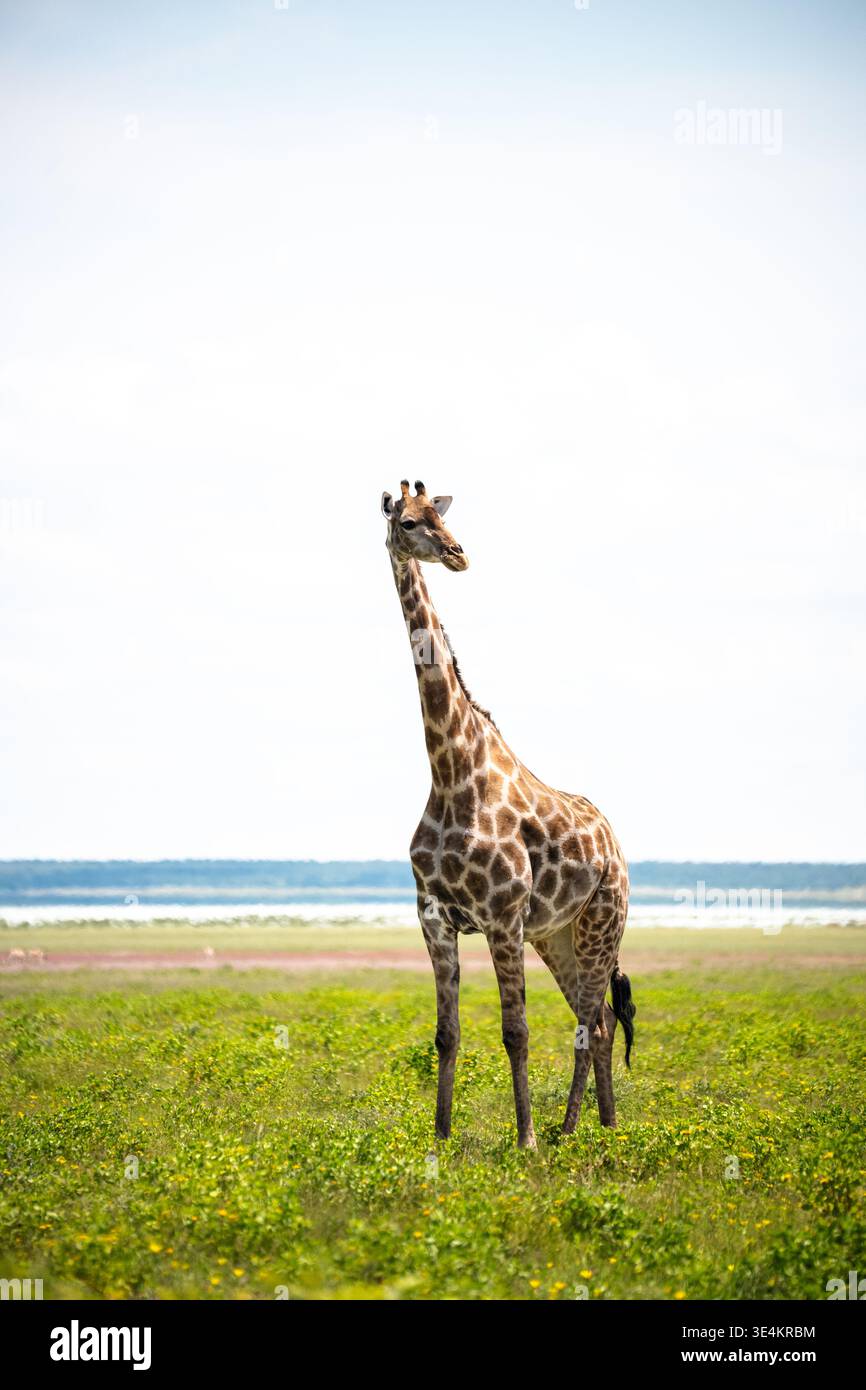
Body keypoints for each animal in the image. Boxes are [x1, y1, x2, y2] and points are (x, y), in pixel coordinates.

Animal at [382, 480, 635, 1149]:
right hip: (556, 935)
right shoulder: (435, 916)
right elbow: (447, 1034)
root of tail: (615, 844)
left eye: (441, 518)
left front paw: (524, 1141)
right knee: (600, 1020)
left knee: (592, 1024)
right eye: (408, 522)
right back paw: (602, 1127)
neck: (450, 771)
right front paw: (441, 1138)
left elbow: (515, 1032)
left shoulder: (501, 917)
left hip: (601, 924)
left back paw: (569, 1131)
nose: (458, 553)